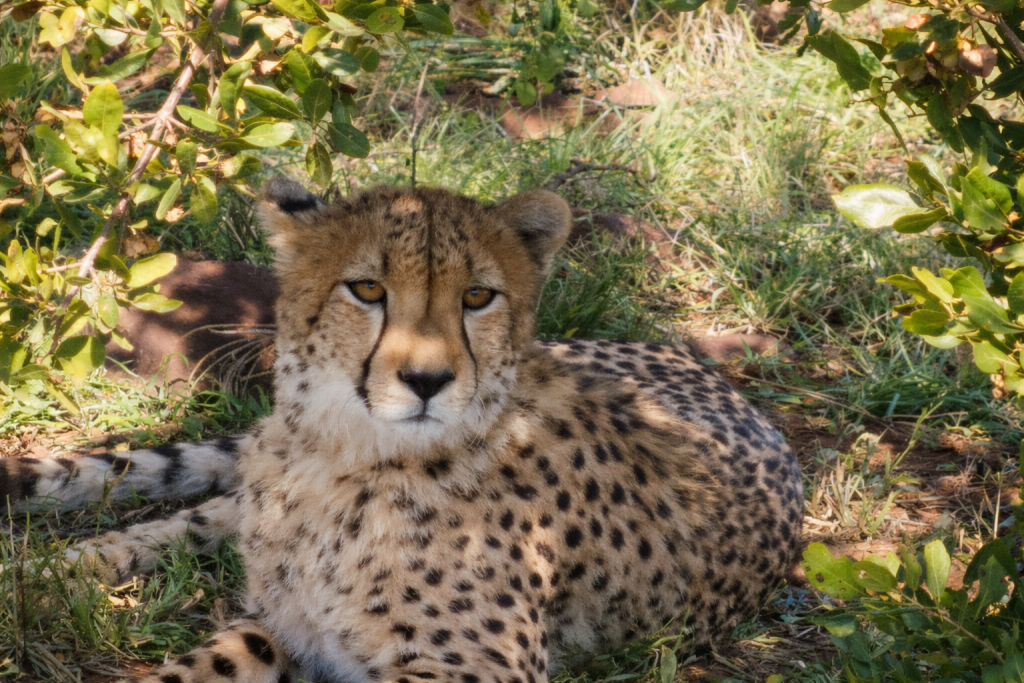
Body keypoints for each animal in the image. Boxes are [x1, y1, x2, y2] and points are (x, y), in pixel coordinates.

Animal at [0, 178, 803, 683]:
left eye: (477, 296)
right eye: (367, 289)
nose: (426, 379)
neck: (342, 460)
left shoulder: (475, 668)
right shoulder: (290, 617)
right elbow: (204, 658)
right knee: (201, 514)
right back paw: (50, 569)